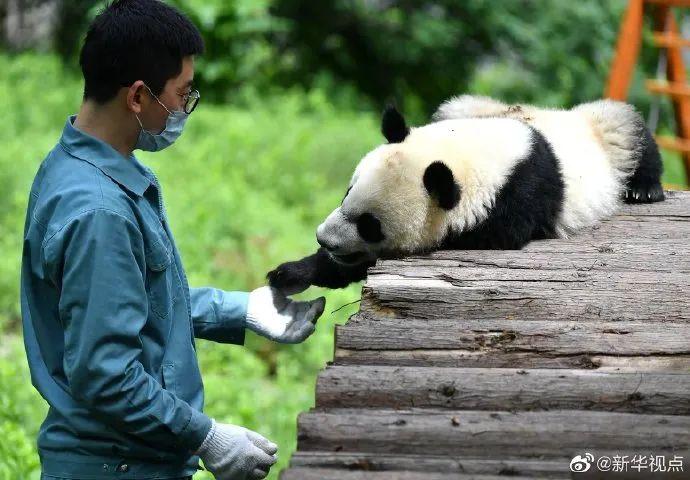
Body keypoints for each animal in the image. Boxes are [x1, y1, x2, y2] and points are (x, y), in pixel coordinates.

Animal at [268, 95, 660, 294]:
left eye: (369, 224)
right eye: (346, 192)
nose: (325, 239)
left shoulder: (513, 201)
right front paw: (291, 273)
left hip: (605, 134)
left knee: (629, 129)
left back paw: (644, 189)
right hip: (466, 104)